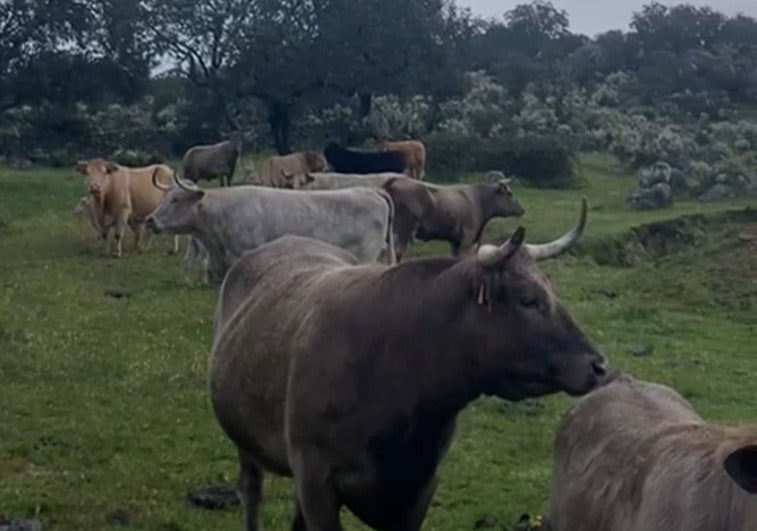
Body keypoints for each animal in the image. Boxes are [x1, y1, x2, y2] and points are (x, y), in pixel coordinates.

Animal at [208, 201, 608, 531]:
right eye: (528, 299)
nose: (598, 366)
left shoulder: (418, 491)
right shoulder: (316, 481)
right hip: (247, 442)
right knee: (251, 491)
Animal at [384, 179, 524, 262]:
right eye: (509, 194)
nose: (522, 210)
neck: (478, 200)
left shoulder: (454, 241)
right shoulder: (466, 238)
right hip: (402, 231)